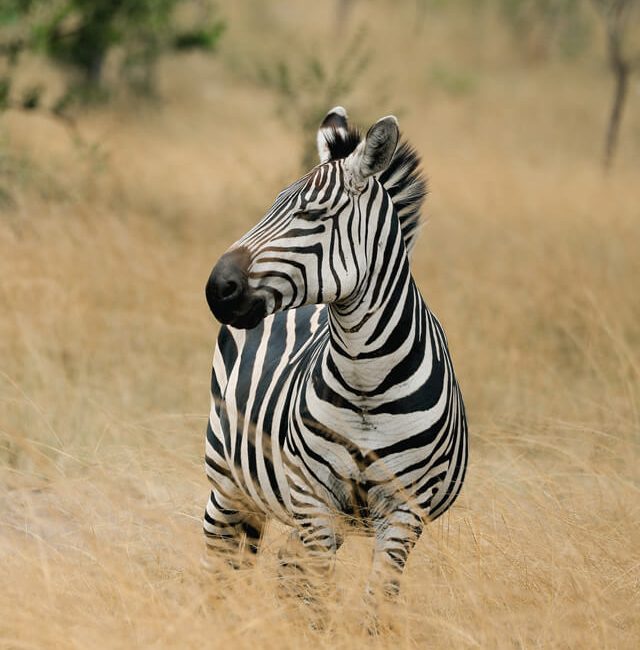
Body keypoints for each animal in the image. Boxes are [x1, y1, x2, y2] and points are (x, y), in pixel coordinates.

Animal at [203, 106, 468, 614]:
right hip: (228, 481)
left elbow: (375, 606)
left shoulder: (403, 512)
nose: (216, 288)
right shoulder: (315, 502)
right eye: (271, 206)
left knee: (283, 567)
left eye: (311, 214)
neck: (367, 380)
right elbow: (315, 601)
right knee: (224, 568)